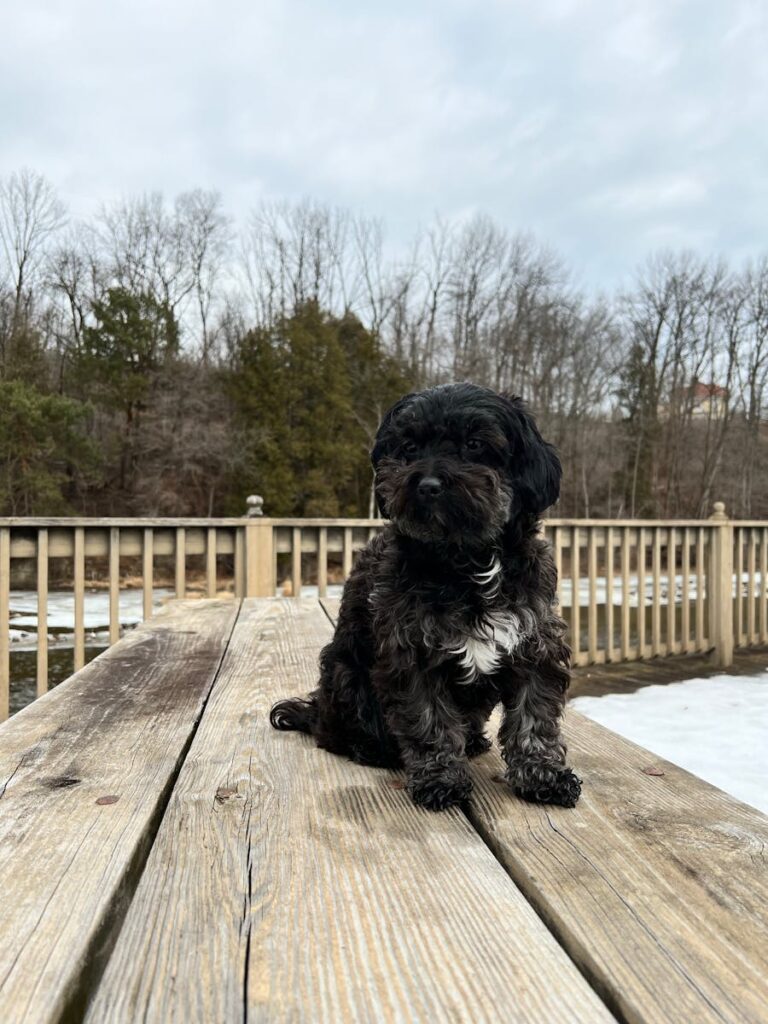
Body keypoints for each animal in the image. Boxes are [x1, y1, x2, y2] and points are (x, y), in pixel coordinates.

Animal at [270, 380, 581, 811]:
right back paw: (372, 748)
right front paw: (440, 779)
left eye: (474, 444)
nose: (427, 486)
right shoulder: (411, 651)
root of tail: (315, 710)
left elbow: (534, 718)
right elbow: (428, 721)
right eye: (410, 447)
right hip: (344, 673)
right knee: (336, 733)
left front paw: (544, 776)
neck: (465, 560)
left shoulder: (535, 645)